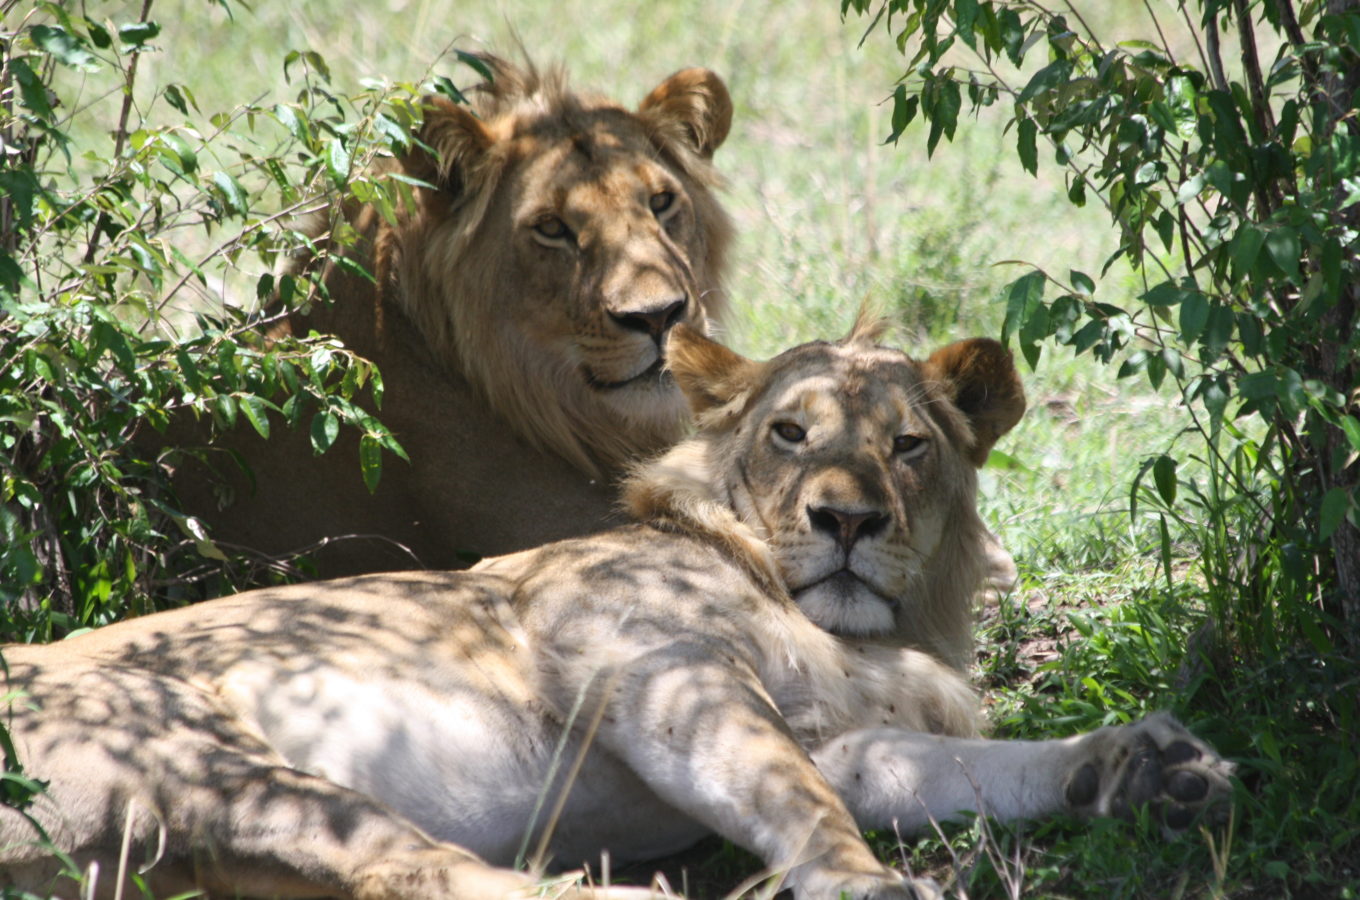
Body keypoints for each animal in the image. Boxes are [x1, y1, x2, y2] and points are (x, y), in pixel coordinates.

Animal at [2, 324, 1234, 900]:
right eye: (791, 433)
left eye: (907, 445)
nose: (846, 519)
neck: (864, 629)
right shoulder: (651, 666)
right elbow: (798, 803)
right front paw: (867, 883)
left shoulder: (845, 739)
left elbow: (976, 774)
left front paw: (1141, 767)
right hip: (199, 757)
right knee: (417, 870)